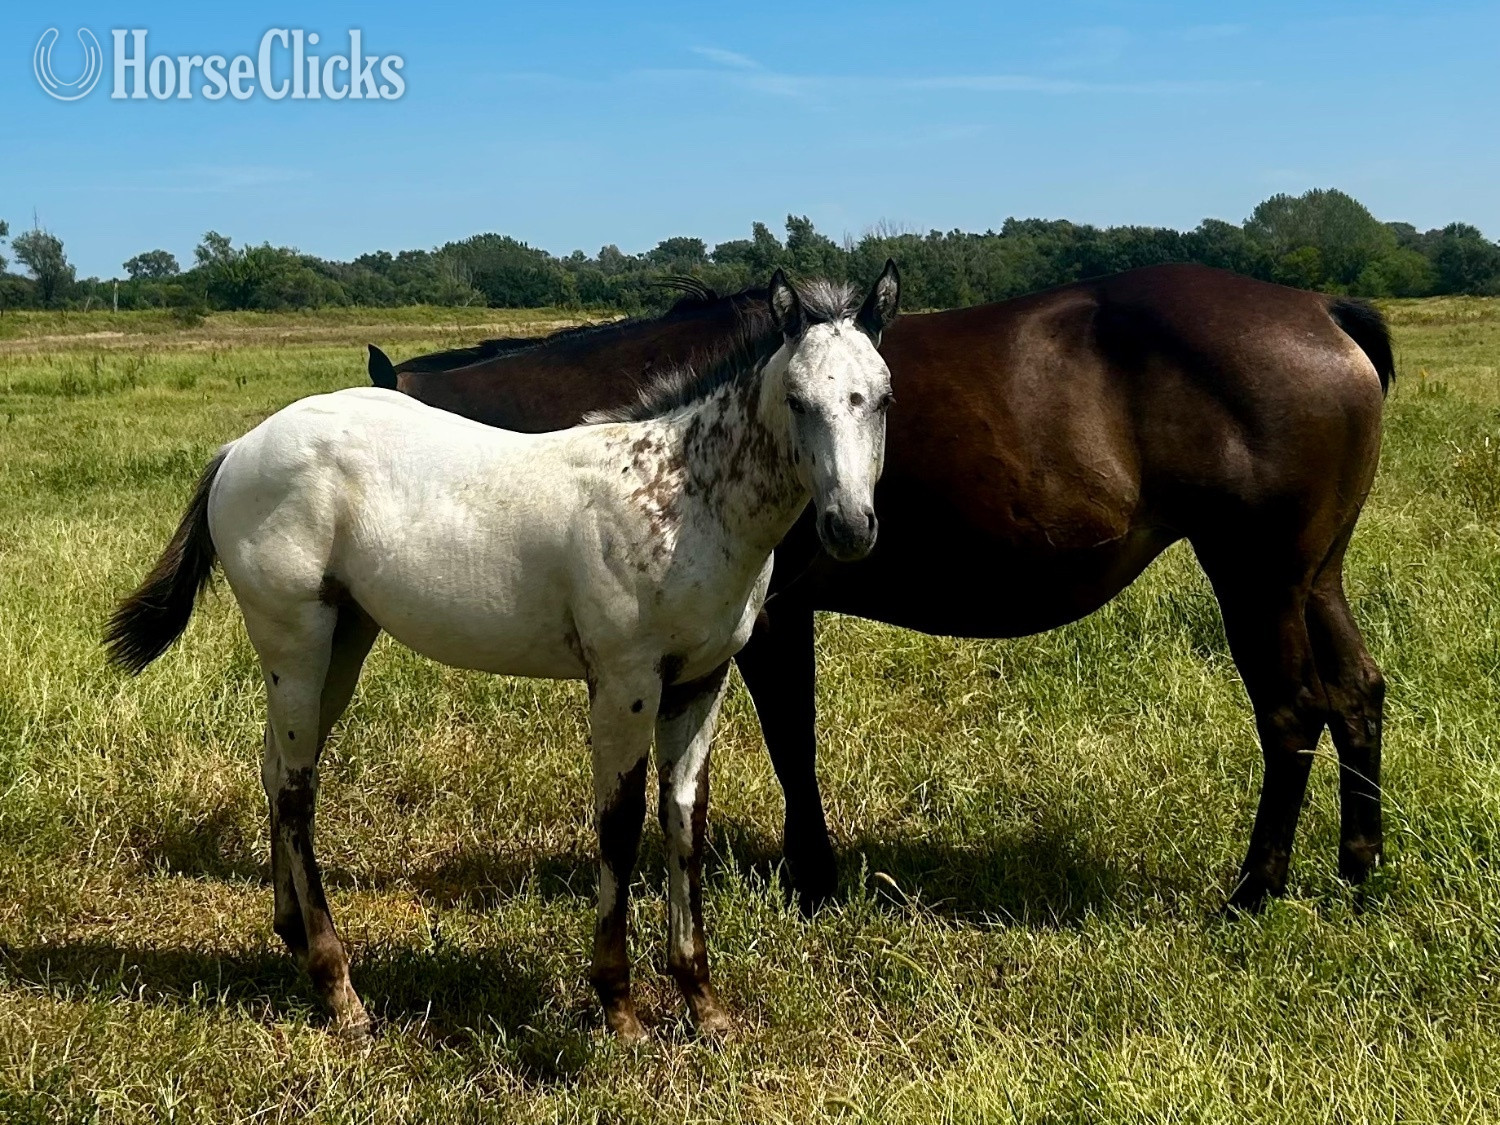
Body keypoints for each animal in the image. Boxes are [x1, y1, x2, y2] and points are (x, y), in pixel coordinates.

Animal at [106, 266, 902, 1040]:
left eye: (883, 397)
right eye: (797, 400)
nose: (850, 527)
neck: (680, 498)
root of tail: (239, 449)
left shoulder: (701, 681)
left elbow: (684, 818)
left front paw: (703, 1005)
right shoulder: (625, 681)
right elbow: (620, 822)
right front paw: (619, 1009)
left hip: (342, 640)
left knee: (276, 769)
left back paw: (294, 936)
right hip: (293, 638)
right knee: (299, 790)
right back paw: (340, 991)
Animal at [368, 263, 1394, 916]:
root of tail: (1323, 309)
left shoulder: (770, 618)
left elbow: (792, 737)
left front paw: (813, 877)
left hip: (1257, 578)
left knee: (1293, 712)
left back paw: (1255, 893)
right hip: (1314, 577)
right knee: (1356, 695)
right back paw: (1358, 871)